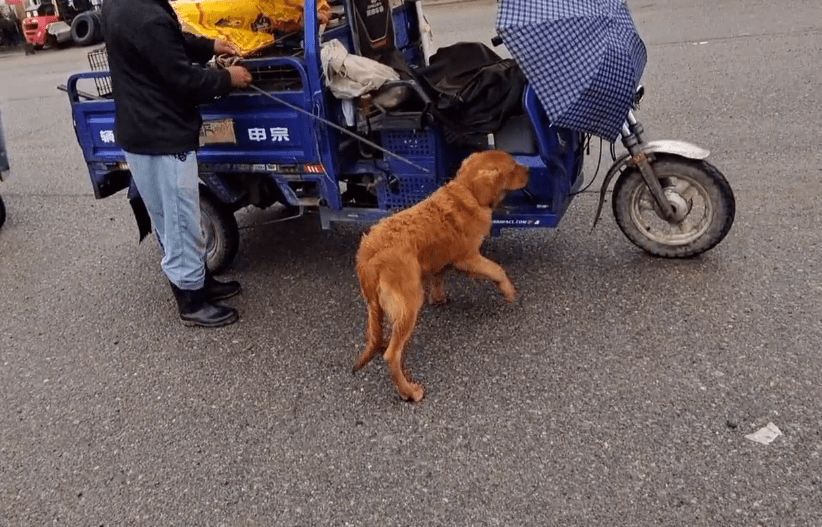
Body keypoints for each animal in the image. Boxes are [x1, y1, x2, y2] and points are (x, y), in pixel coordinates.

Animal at [350, 151, 532, 402]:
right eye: (513, 168)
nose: (530, 171)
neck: (468, 191)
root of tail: (367, 254)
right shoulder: (468, 258)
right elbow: (498, 270)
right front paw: (509, 292)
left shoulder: (441, 258)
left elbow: (438, 276)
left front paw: (438, 298)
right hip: (409, 302)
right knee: (392, 355)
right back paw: (409, 391)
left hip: (376, 305)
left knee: (380, 337)